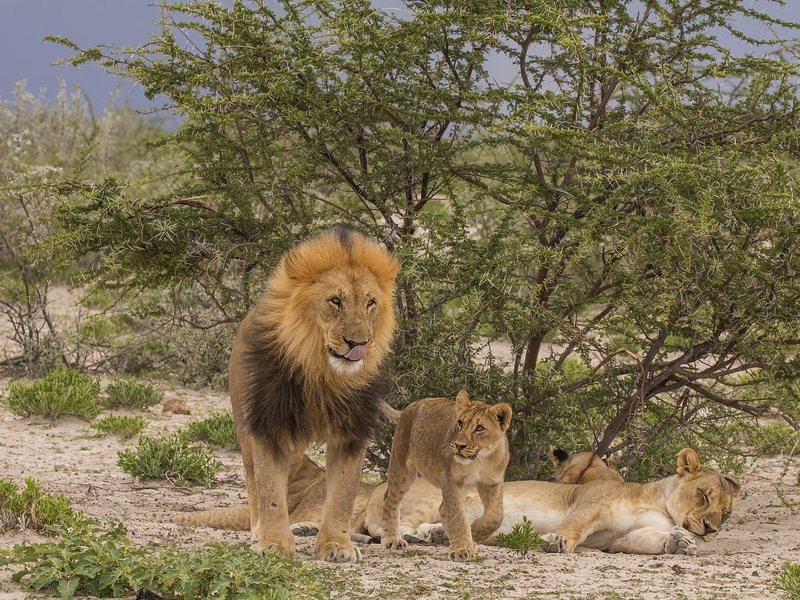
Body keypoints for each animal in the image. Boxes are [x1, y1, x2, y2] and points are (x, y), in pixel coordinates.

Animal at [224, 228, 398, 563]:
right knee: (253, 483)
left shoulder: (351, 432)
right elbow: (270, 490)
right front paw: (274, 543)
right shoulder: (269, 424)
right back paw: (258, 531)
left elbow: (343, 494)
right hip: (243, 424)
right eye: (335, 301)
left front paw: (337, 545)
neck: (323, 372)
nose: (358, 343)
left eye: (370, 303)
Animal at [380, 390, 512, 560]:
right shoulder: (451, 480)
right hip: (402, 469)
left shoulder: (492, 482)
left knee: (443, 508)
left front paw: (474, 533)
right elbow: (457, 515)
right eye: (460, 423)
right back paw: (392, 539)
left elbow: (496, 515)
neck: (480, 459)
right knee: (389, 501)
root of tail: (409, 407)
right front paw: (462, 548)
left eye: (480, 428)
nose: (459, 446)